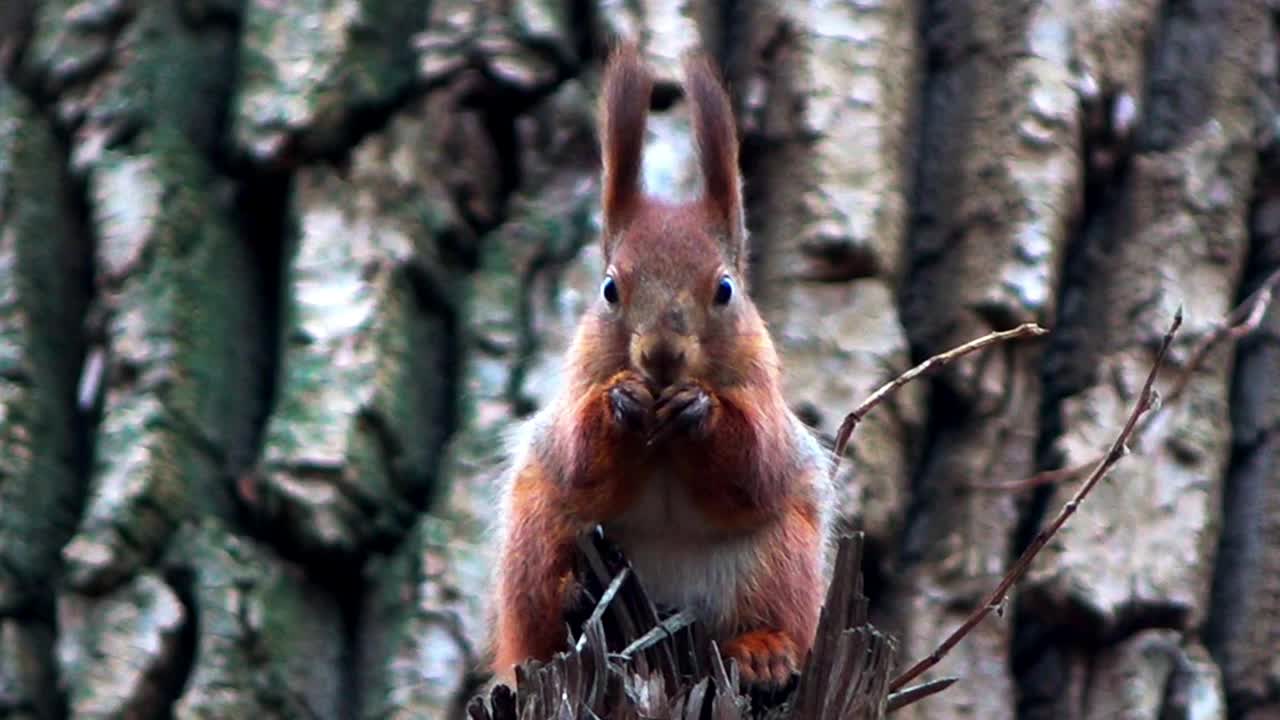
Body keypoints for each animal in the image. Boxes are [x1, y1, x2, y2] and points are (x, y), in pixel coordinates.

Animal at [486, 43, 829, 681]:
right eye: (609, 289)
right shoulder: (575, 394)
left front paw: (700, 410)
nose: (661, 356)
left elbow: (757, 465)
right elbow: (579, 457)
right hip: (536, 527)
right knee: (541, 610)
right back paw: (569, 596)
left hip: (781, 558)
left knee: (769, 611)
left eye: (725, 289)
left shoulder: (765, 403)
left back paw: (763, 651)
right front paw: (621, 402)